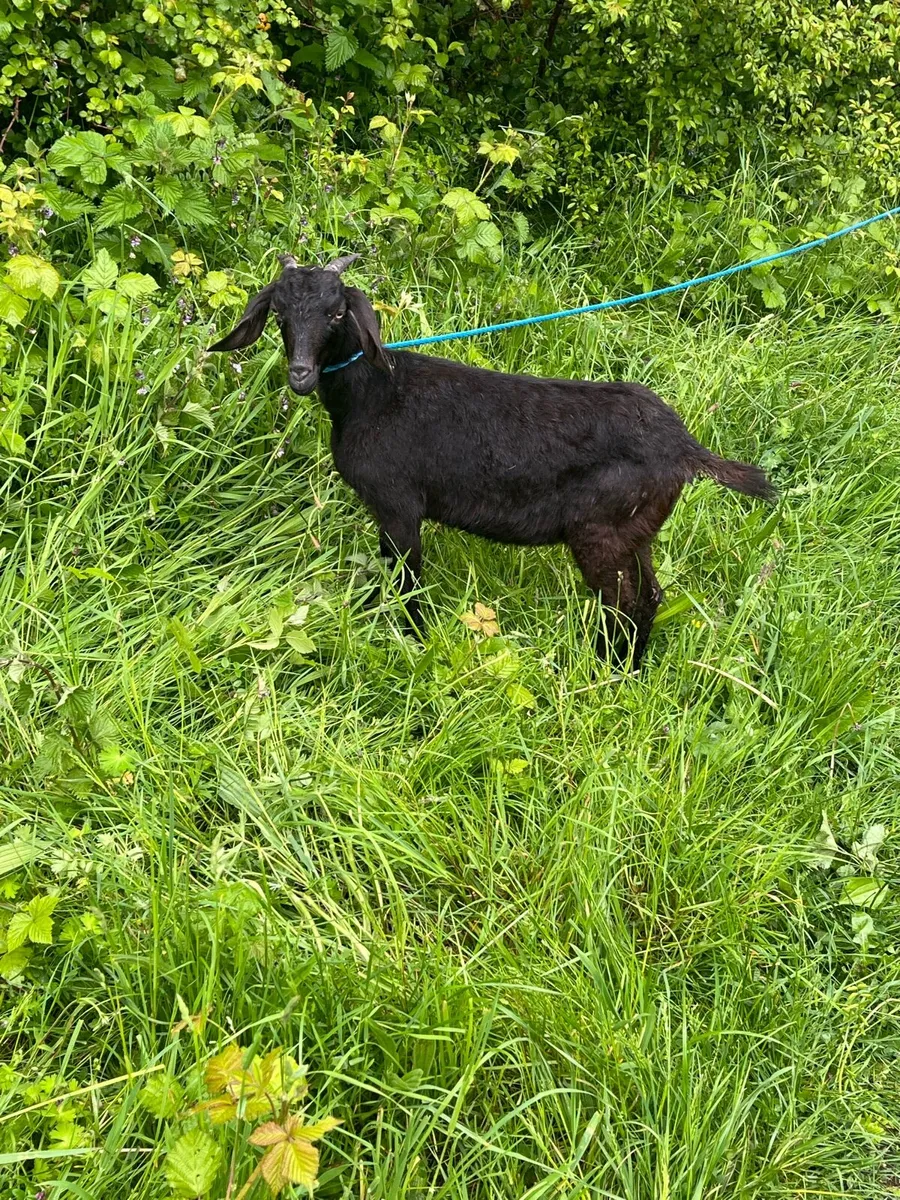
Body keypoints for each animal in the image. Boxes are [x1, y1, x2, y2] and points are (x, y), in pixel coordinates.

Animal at [210, 253, 775, 667]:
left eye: (335, 313)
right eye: (279, 314)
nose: (300, 375)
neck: (376, 393)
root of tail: (685, 447)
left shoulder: (397, 506)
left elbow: (406, 585)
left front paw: (412, 643)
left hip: (602, 531)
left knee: (625, 606)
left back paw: (605, 672)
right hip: (638, 530)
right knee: (650, 597)